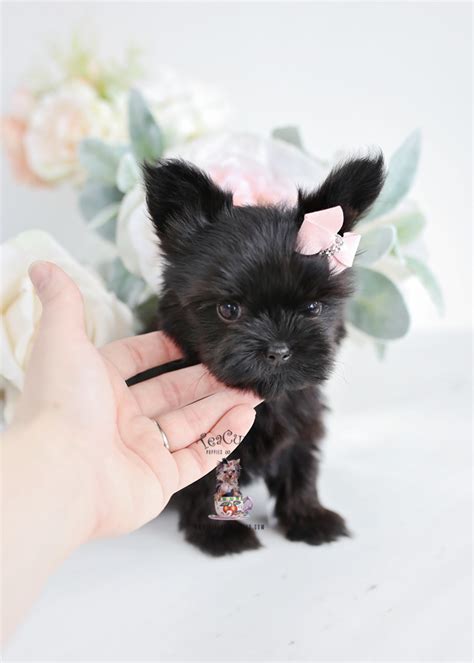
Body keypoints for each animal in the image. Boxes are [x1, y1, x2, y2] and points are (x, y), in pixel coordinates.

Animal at [143, 154, 384, 556]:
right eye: (228, 309)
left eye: (313, 308)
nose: (279, 350)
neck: (265, 400)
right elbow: (206, 482)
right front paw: (219, 534)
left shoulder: (302, 422)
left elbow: (300, 468)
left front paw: (308, 517)